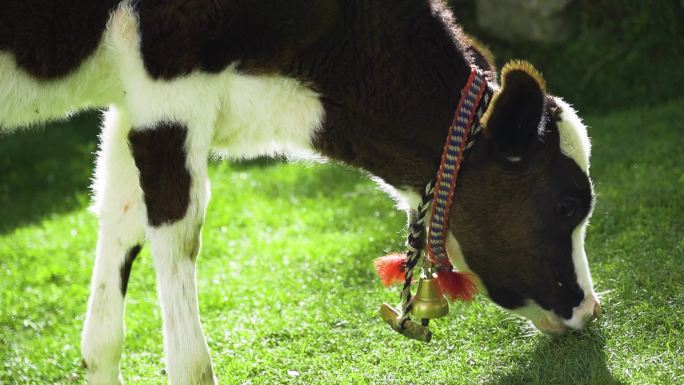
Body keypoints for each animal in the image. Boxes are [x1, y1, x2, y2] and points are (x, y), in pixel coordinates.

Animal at [0, 0, 600, 384]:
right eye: (568, 204)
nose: (590, 309)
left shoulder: (131, 101)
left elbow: (119, 222)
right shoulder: (170, 85)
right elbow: (179, 237)